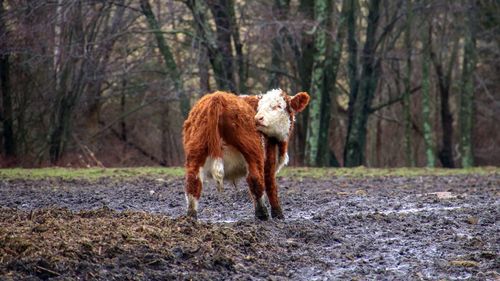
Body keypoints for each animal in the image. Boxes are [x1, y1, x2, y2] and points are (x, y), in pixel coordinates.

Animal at [184, 88, 308, 220]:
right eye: (260, 107)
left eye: (278, 106)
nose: (258, 118)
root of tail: (217, 97)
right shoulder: (269, 160)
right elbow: (270, 185)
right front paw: (278, 213)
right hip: (253, 152)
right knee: (255, 179)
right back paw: (262, 213)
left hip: (196, 153)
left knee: (193, 182)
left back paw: (191, 216)